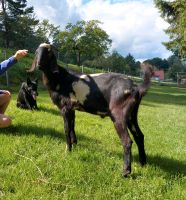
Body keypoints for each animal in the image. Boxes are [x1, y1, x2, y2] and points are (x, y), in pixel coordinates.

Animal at [28, 42, 153, 177]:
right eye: (37, 52)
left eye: (49, 52)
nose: (39, 64)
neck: (60, 78)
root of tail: (136, 88)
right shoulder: (72, 108)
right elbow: (72, 126)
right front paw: (74, 144)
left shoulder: (65, 108)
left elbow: (66, 129)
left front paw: (68, 150)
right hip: (131, 115)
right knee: (139, 136)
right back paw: (142, 163)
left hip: (118, 115)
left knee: (127, 140)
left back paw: (125, 171)